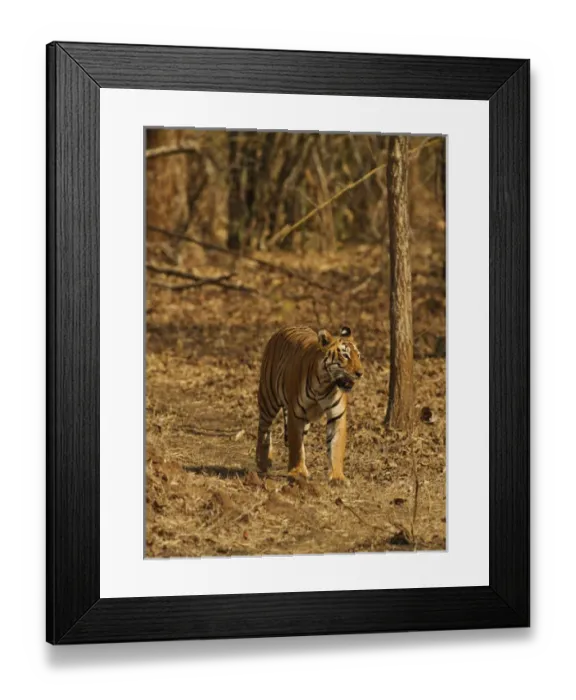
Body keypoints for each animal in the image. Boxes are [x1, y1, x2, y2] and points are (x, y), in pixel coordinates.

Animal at [256, 325, 364, 482]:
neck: (324, 384)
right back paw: (263, 462)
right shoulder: (295, 413)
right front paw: (298, 473)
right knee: (264, 428)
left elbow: (336, 446)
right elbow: (296, 446)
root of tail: (283, 329)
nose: (360, 373)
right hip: (268, 398)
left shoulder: (337, 415)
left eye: (358, 356)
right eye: (345, 355)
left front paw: (337, 477)